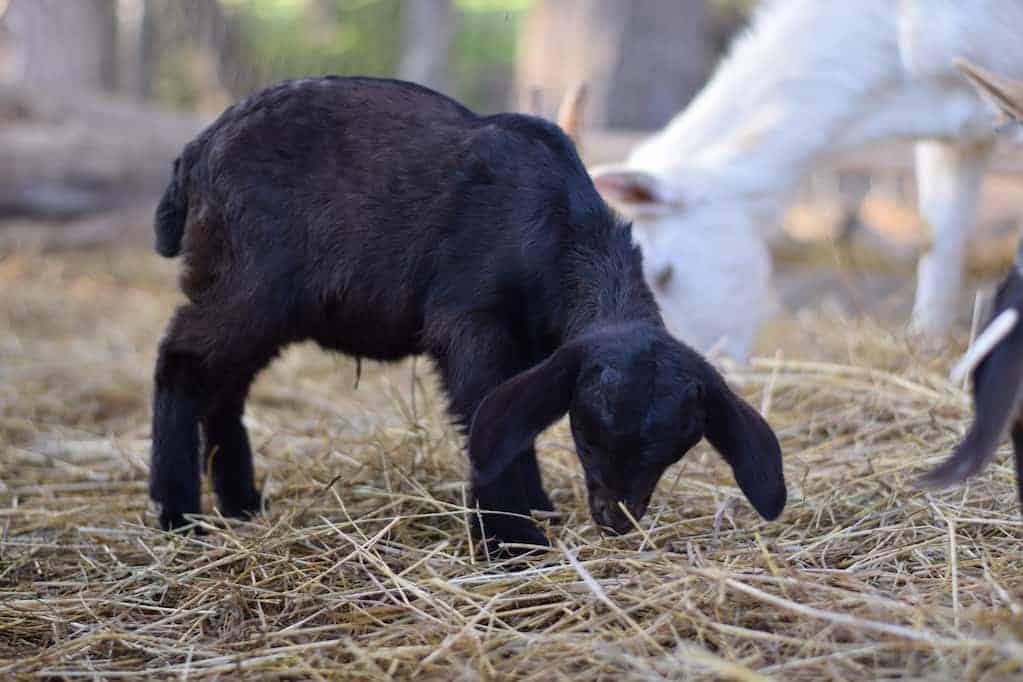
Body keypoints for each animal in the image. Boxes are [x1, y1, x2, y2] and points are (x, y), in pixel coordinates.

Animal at [148, 77, 781, 552]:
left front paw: (534, 513)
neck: (552, 228)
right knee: (182, 362)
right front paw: (511, 540)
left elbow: (518, 417)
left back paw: (240, 505)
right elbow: (485, 411)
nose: (614, 518)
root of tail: (196, 153)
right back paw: (179, 515)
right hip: (248, 285)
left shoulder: (537, 350)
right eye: (587, 433)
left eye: (675, 446)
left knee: (226, 385)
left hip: (257, 304)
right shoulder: (471, 321)